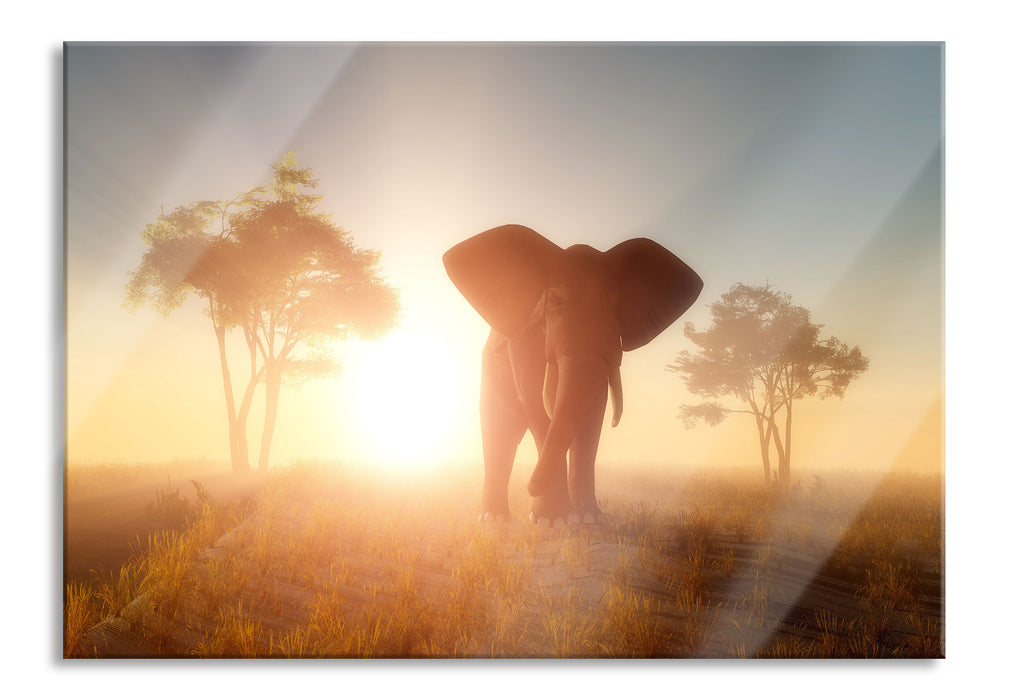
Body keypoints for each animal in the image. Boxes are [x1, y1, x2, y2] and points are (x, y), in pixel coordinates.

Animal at [443, 224, 702, 526]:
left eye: (617, 308)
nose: (529, 488)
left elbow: (593, 409)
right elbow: (536, 402)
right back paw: (494, 520)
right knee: (500, 432)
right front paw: (551, 521)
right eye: (554, 301)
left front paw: (589, 519)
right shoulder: (525, 336)